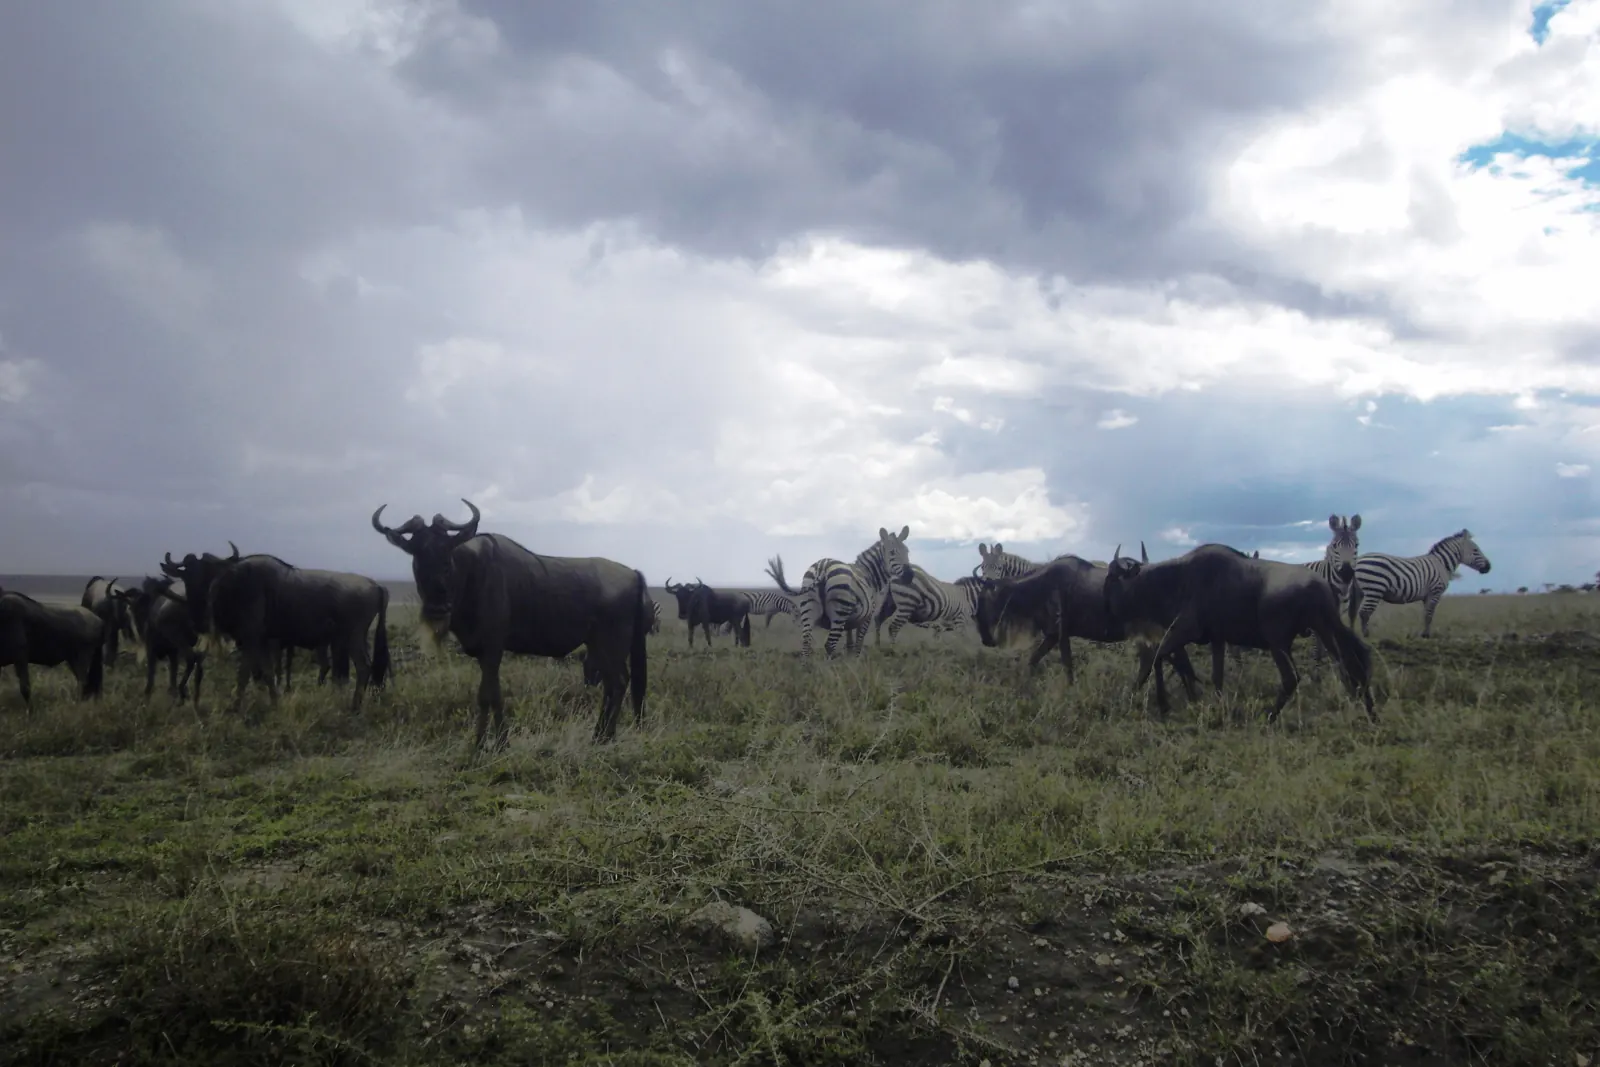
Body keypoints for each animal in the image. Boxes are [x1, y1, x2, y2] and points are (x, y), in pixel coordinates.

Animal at [765, 526, 912, 659]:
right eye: (892, 552)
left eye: (907, 552)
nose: (909, 575)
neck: (869, 574)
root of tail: (822, 567)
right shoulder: (866, 617)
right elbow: (858, 644)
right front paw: (855, 664)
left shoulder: (850, 622)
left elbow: (850, 645)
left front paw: (848, 664)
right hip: (839, 612)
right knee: (830, 644)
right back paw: (827, 670)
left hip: (809, 608)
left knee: (806, 642)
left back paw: (807, 669)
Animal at [1347, 528, 1491, 637]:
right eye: (1475, 550)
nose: (1489, 567)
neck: (1441, 564)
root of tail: (1358, 560)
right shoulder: (1435, 592)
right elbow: (1429, 615)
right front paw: (1426, 635)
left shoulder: (1427, 596)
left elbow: (1426, 614)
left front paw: (1424, 634)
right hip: (1374, 589)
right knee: (1364, 612)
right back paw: (1366, 635)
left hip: (1359, 592)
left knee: (1353, 613)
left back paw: (1353, 636)